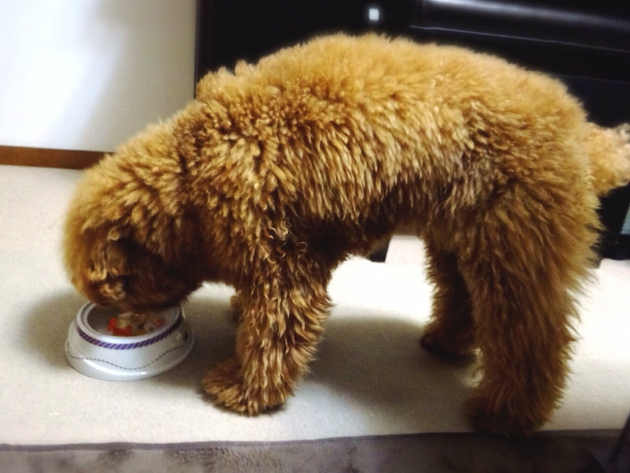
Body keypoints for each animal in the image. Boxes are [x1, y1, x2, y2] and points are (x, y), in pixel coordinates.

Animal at [64, 33, 630, 434]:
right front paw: (238, 315)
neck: (190, 170)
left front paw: (242, 389)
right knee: (464, 299)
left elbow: (272, 334)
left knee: (531, 338)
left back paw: (505, 414)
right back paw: (446, 343)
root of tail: (581, 132)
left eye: (121, 290)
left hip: (514, 245)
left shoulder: (281, 261)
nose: (124, 322)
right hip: (460, 236)